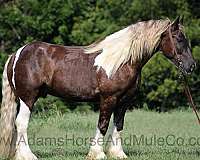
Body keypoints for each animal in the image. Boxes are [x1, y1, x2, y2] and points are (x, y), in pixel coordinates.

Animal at [0, 16, 195, 159]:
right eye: (179, 38)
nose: (191, 66)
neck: (123, 61)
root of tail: (17, 54)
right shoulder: (108, 99)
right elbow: (103, 124)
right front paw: (97, 154)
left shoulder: (123, 102)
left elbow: (118, 125)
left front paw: (118, 154)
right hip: (28, 98)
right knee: (21, 123)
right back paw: (28, 156)